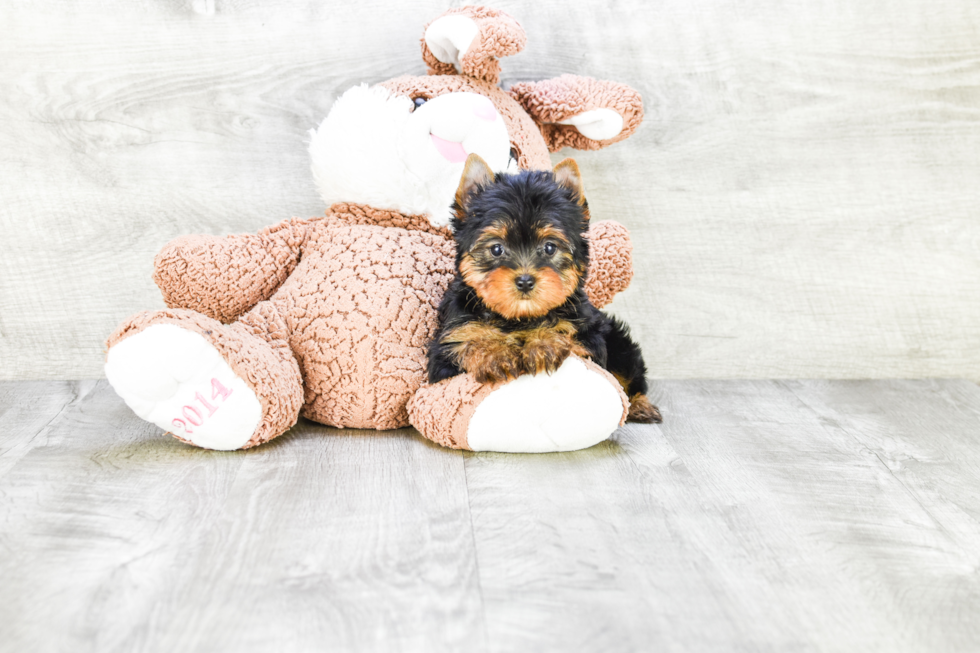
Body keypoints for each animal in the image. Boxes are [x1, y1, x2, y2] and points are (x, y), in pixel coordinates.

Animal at [426, 152, 664, 422]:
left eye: (550, 247)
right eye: (497, 249)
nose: (525, 280)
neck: (518, 317)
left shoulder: (589, 338)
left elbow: (570, 339)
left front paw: (544, 342)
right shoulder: (447, 346)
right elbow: (467, 344)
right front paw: (494, 353)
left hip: (618, 342)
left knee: (629, 374)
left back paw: (640, 405)